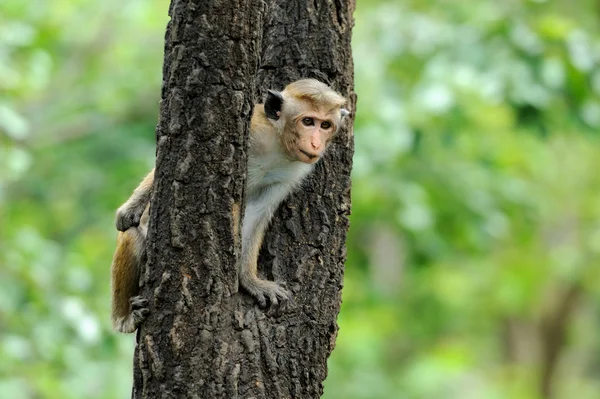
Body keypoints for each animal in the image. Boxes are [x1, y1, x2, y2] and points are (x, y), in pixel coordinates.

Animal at [110, 79, 350, 334]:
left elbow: (257, 212)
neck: (278, 144)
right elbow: (159, 173)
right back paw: (124, 318)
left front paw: (250, 281)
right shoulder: (252, 131)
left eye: (325, 125)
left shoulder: (294, 172)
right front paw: (130, 208)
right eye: (308, 121)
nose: (315, 143)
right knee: (132, 236)